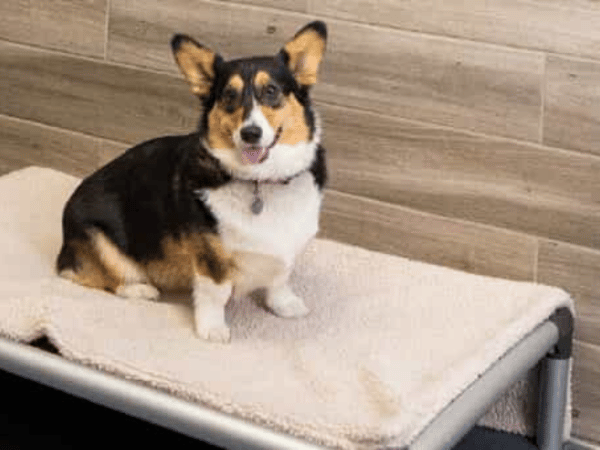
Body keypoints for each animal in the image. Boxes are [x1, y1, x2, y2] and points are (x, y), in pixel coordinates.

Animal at [56, 21, 328, 342]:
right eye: (229, 96)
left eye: (271, 91)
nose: (250, 133)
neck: (262, 182)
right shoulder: (210, 259)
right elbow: (215, 294)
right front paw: (213, 329)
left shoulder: (288, 250)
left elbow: (280, 279)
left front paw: (285, 306)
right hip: (99, 243)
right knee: (79, 274)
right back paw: (139, 289)